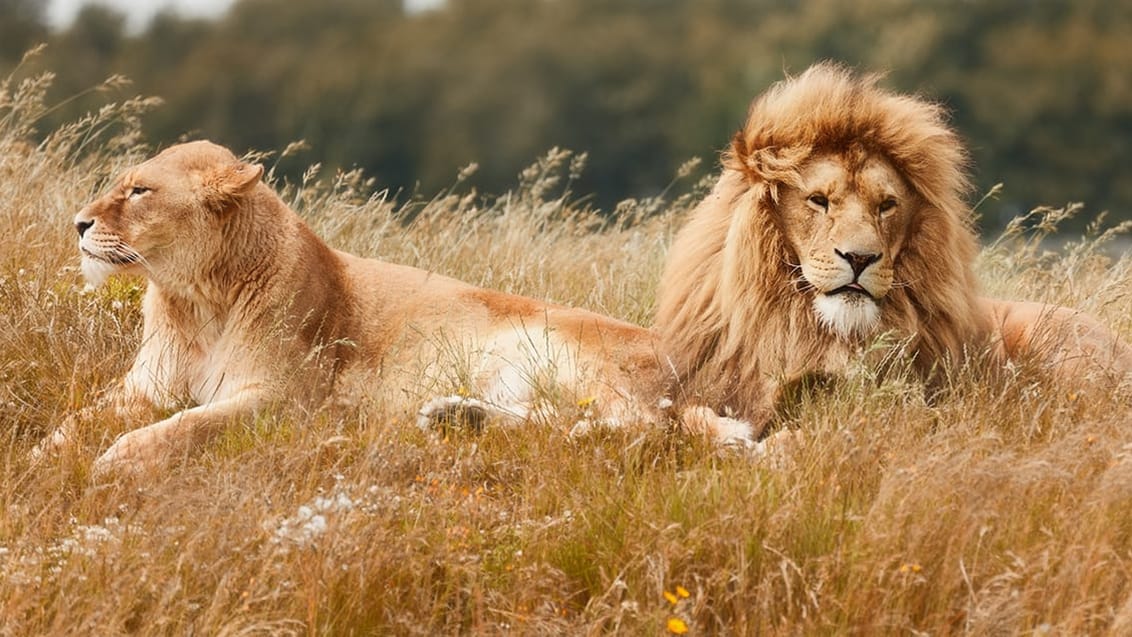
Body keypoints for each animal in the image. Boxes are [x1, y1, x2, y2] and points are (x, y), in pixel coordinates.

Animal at [57, 140, 756, 479]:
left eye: (139, 191)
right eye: (118, 183)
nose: (79, 222)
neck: (196, 300)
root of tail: (682, 362)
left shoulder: (287, 400)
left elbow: (188, 426)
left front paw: (117, 460)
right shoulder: (145, 387)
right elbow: (77, 419)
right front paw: (49, 457)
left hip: (552, 348)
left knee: (639, 428)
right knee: (552, 422)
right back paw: (454, 418)